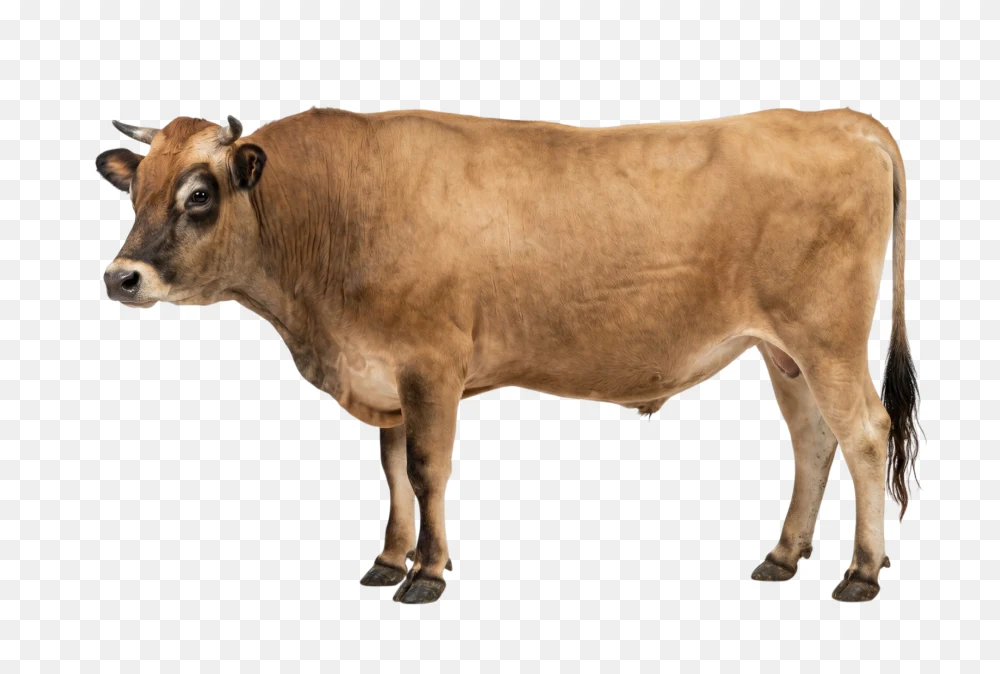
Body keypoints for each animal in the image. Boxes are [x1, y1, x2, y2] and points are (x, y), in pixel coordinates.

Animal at [97, 108, 919, 604]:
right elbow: (392, 471)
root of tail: (842, 121)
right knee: (813, 440)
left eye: (199, 195)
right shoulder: (387, 375)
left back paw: (861, 570)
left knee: (865, 434)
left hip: (827, 337)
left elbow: (426, 471)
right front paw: (389, 559)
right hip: (783, 351)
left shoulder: (432, 365)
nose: (120, 277)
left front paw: (427, 572)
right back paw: (783, 554)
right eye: (136, 189)